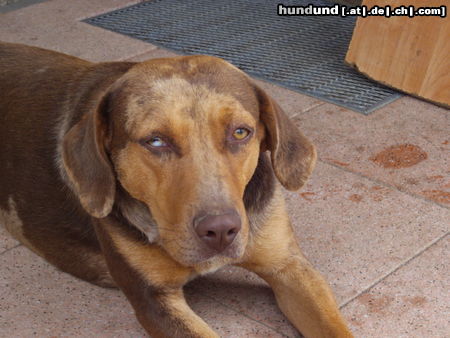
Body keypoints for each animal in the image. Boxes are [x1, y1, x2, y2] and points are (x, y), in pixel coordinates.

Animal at [0, 43, 352, 338]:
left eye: (240, 132)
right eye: (156, 141)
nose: (221, 230)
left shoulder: (290, 268)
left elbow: (333, 326)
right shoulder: (153, 300)